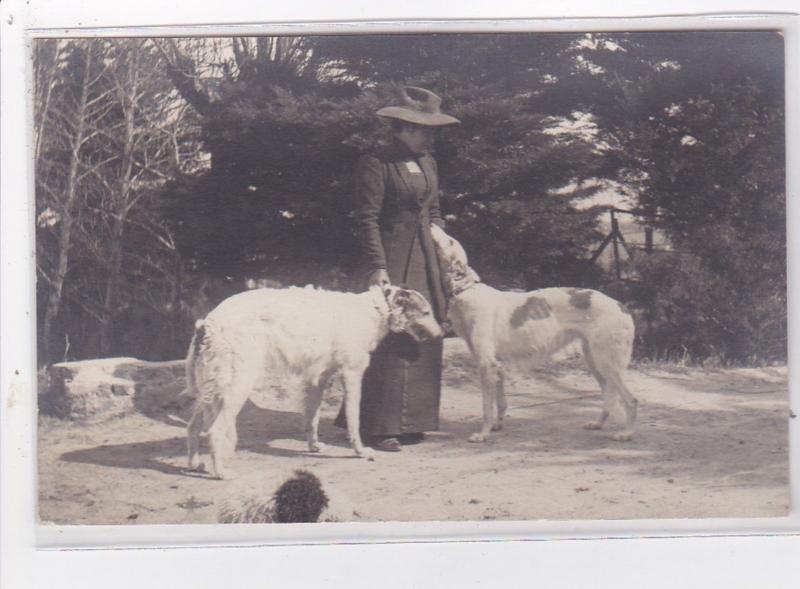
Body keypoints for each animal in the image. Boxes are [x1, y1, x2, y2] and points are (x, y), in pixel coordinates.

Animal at [184, 284, 440, 478]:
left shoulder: (318, 379)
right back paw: (220, 473)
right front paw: (360, 451)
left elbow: (312, 417)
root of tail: (208, 322)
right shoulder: (352, 374)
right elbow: (353, 419)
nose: (440, 335)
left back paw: (195, 464)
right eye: (426, 312)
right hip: (237, 387)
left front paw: (314, 446)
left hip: (210, 390)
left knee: (193, 426)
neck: (375, 309)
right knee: (214, 432)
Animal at [432, 225, 636, 440]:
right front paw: (497, 425)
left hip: (606, 363)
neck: (467, 291)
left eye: (450, 241)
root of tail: (621, 306)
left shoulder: (486, 365)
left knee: (631, 400)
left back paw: (626, 433)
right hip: (595, 361)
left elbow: (487, 407)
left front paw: (483, 434)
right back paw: (598, 424)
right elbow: (501, 402)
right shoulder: (497, 366)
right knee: (609, 396)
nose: (432, 225)